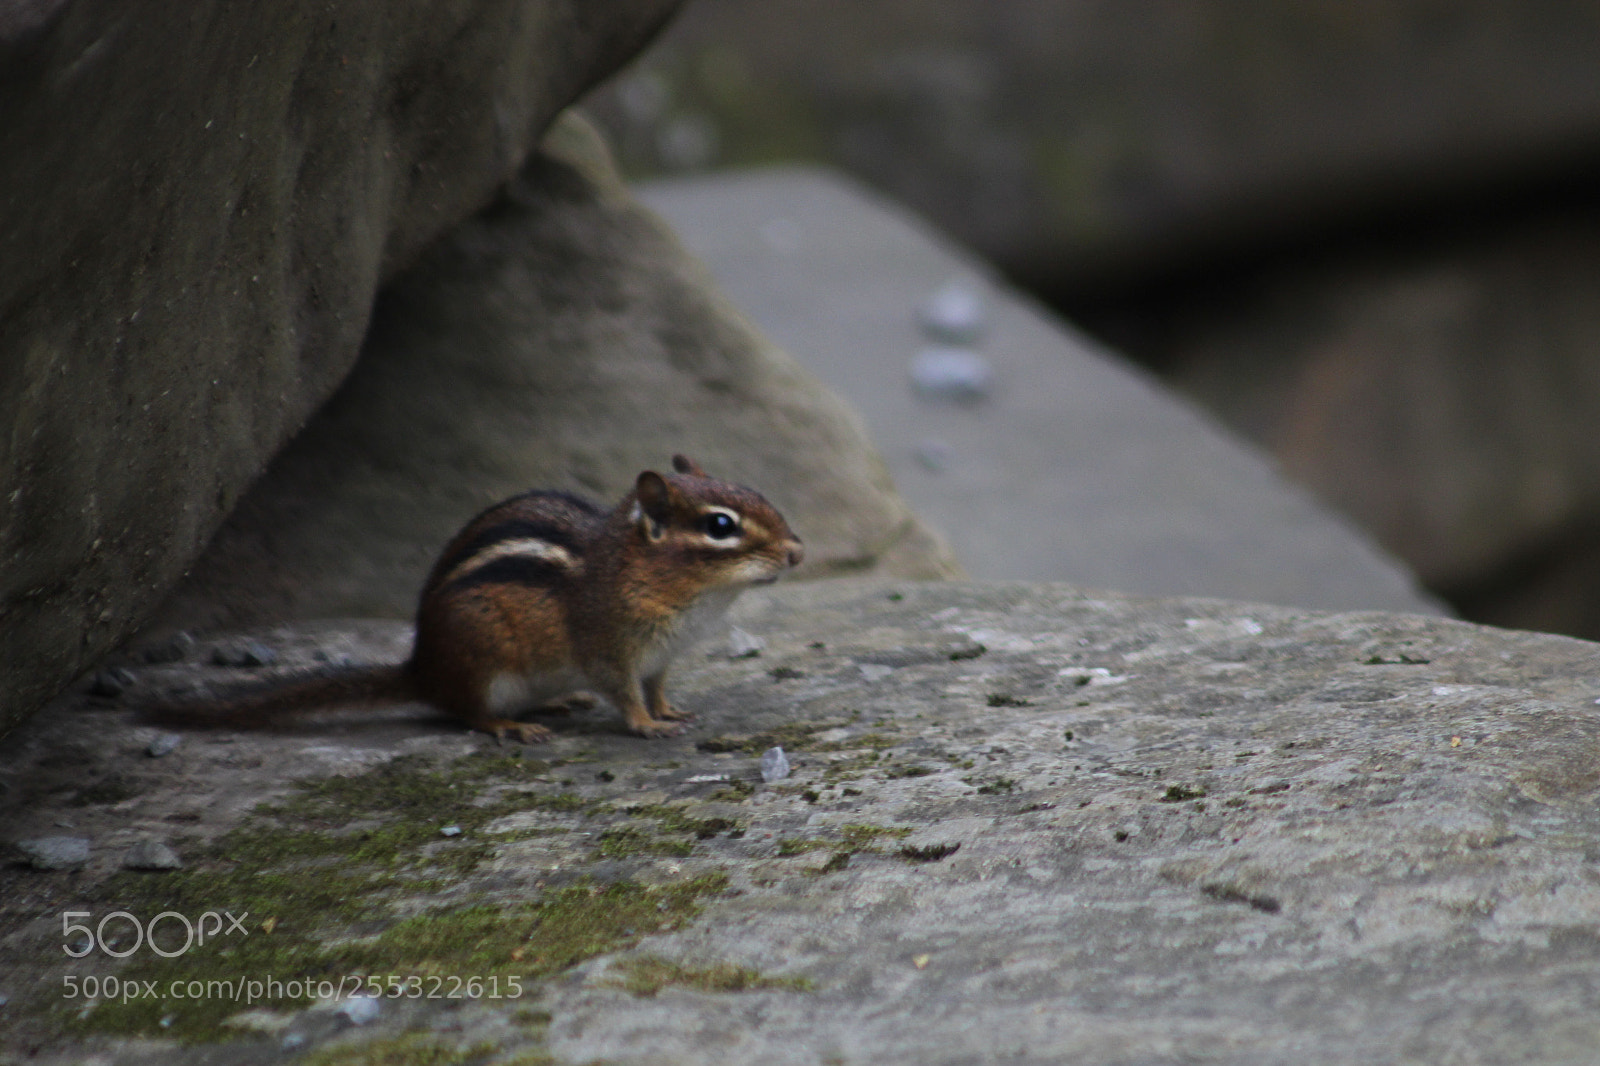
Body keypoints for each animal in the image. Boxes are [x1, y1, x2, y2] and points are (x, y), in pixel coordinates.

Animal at [140, 456, 804, 742]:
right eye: (721, 526)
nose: (798, 552)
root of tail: (421, 669)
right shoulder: (608, 648)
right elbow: (622, 692)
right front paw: (645, 725)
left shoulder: (661, 657)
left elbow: (658, 686)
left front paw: (670, 712)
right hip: (482, 657)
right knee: (465, 712)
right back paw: (512, 726)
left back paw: (551, 705)